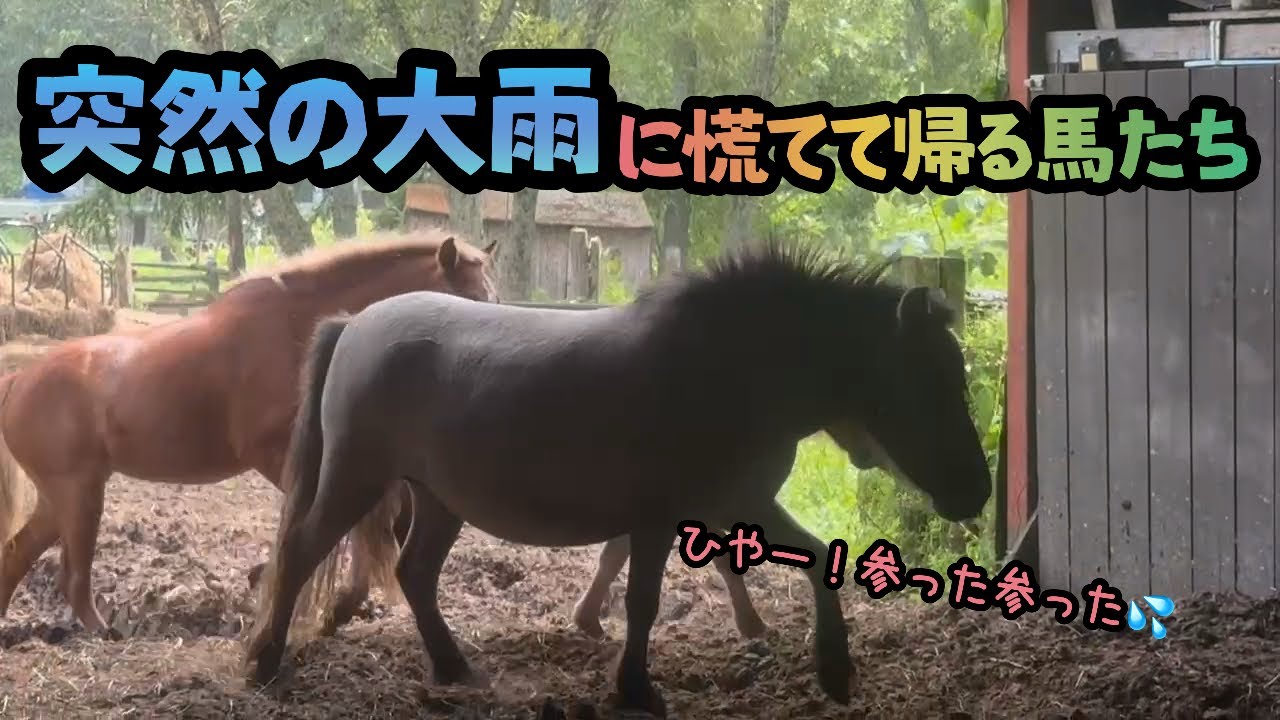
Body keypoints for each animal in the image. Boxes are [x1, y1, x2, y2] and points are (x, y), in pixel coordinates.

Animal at [0, 229, 499, 636]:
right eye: (468, 298)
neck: (294, 326)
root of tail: (19, 380)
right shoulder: (276, 454)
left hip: (63, 499)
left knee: (19, 554)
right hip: (79, 496)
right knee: (71, 575)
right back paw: (104, 633)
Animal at [244, 240, 992, 715]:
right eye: (928, 382)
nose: (976, 492)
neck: (734, 369)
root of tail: (354, 324)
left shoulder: (739, 501)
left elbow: (812, 558)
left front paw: (835, 670)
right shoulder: (663, 516)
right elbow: (641, 604)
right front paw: (635, 689)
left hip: (438, 497)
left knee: (415, 574)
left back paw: (453, 668)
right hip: (357, 476)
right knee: (301, 551)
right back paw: (264, 663)